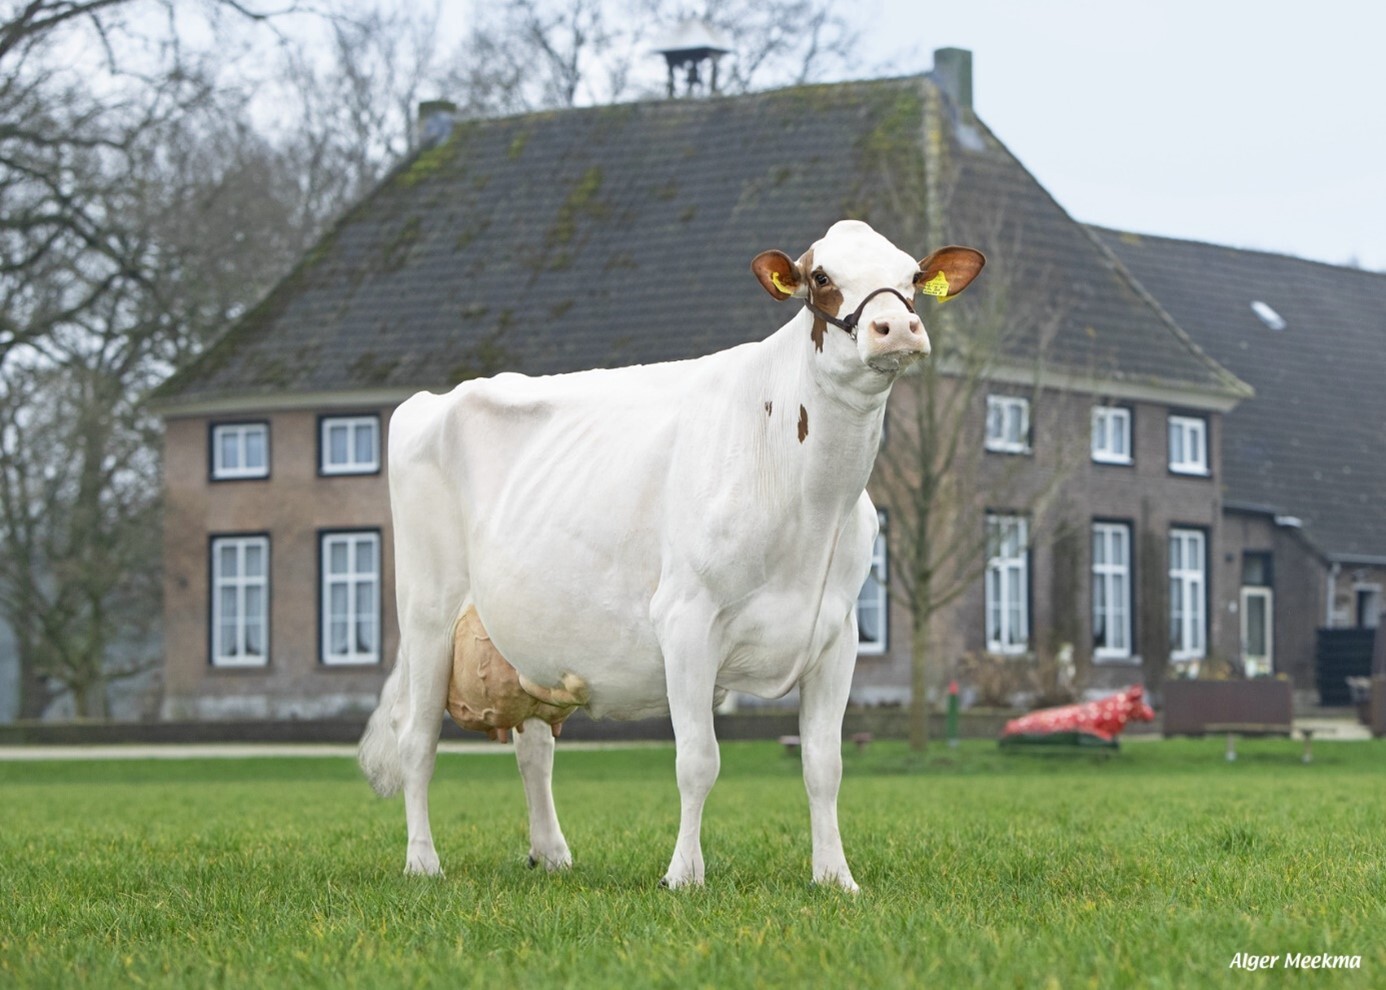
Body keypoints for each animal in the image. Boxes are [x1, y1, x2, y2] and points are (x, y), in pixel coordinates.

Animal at [360, 217, 986, 887]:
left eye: (912, 276)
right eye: (821, 277)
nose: (896, 328)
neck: (814, 505)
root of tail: (432, 399)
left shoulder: (837, 634)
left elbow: (825, 764)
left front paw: (835, 877)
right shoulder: (687, 619)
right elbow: (698, 760)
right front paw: (684, 874)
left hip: (526, 642)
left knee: (534, 746)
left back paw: (550, 854)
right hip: (427, 611)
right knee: (417, 739)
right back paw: (423, 862)